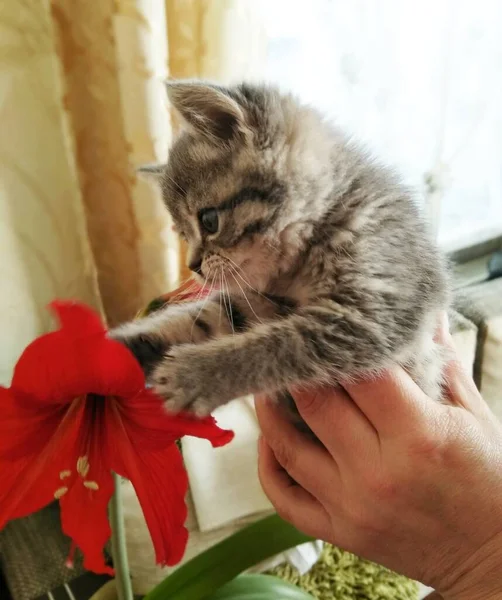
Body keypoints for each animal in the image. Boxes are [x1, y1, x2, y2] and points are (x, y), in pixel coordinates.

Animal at [112, 79, 450, 420]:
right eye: (183, 234)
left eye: (209, 221)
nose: (193, 266)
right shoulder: (246, 303)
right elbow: (195, 318)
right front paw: (117, 347)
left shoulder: (373, 311)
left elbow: (285, 344)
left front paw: (198, 374)